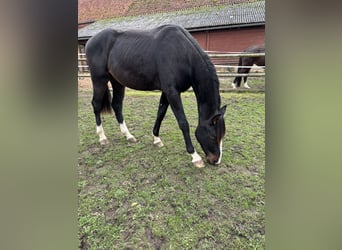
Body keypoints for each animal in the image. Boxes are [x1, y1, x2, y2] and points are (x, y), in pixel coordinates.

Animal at [84, 23, 226, 168]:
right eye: (212, 136)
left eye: (223, 135)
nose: (216, 160)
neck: (183, 53)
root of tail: (91, 40)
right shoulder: (172, 92)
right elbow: (183, 123)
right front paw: (195, 157)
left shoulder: (167, 92)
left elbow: (160, 114)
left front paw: (157, 139)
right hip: (99, 79)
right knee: (96, 105)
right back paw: (102, 137)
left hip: (117, 81)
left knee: (117, 105)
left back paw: (128, 135)